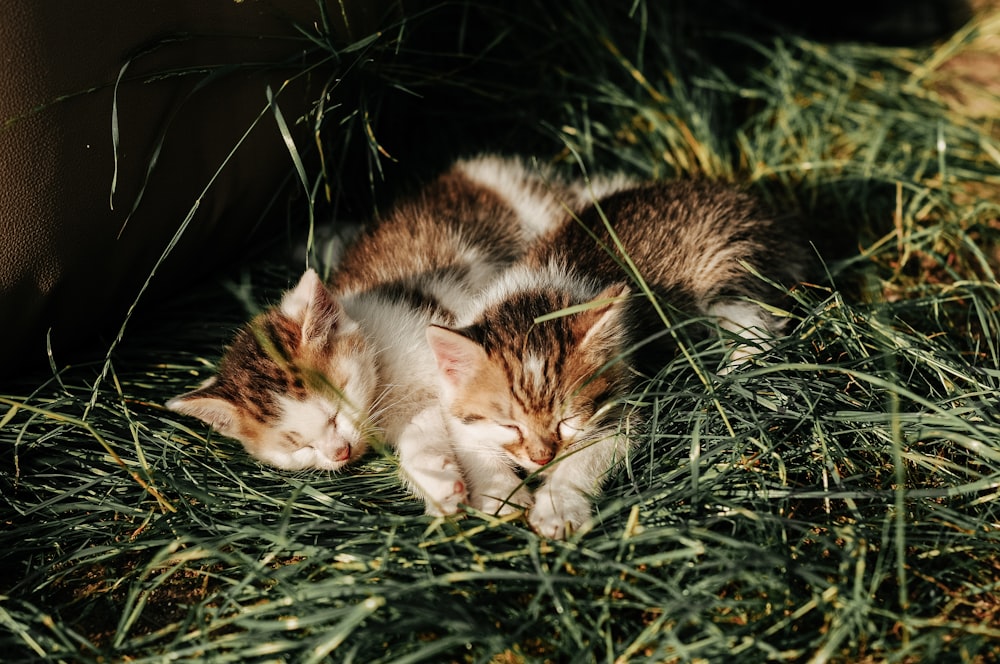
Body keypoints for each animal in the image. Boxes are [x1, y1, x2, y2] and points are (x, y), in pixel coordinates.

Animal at [426, 178, 808, 540]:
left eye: (567, 421)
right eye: (509, 426)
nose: (542, 458)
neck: (542, 292)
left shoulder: (623, 406)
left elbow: (588, 457)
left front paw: (557, 508)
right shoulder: (452, 402)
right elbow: (470, 441)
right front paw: (500, 498)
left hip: (731, 264)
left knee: (756, 319)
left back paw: (737, 376)